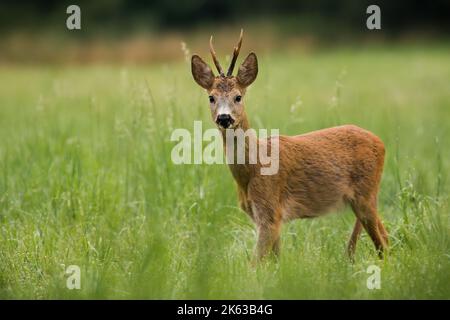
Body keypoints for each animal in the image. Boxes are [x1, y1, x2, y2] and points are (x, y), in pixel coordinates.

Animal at [190, 30, 386, 262]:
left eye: (238, 96)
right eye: (211, 97)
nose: (224, 118)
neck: (251, 170)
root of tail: (381, 142)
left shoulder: (270, 210)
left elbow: (255, 262)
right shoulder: (267, 216)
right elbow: (275, 260)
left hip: (366, 193)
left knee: (383, 244)